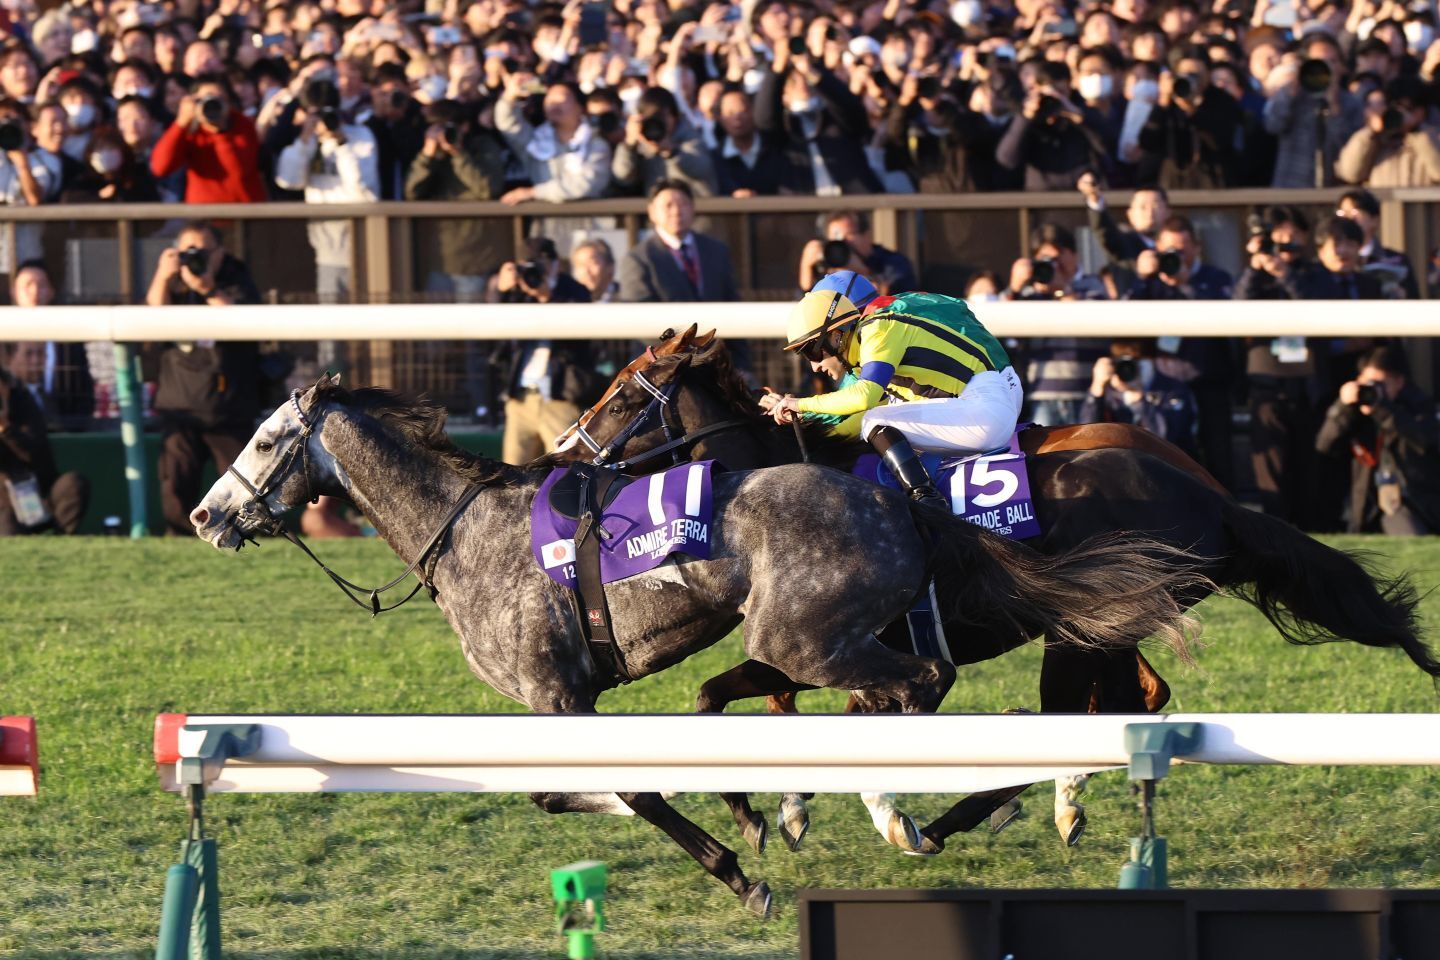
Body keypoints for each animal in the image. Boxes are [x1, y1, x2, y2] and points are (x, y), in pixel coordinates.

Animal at [188, 376, 1207, 913]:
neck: (465, 534)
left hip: (802, 634)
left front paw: (741, 865)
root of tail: (901, 499)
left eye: (268, 437)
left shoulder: (558, 694)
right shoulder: (563, 704)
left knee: (924, 679)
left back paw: (907, 809)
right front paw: (747, 817)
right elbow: (562, 793)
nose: (204, 514)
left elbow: (632, 786)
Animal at [547, 332, 1440, 855]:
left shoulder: (854, 643)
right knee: (1129, 702)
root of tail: (1214, 493)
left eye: (622, 395)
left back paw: (975, 815)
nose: (559, 453)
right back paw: (1045, 806)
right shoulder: (812, 645)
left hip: (1082, 630)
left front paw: (867, 808)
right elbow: (742, 697)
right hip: (1104, 625)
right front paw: (788, 806)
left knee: (1080, 714)